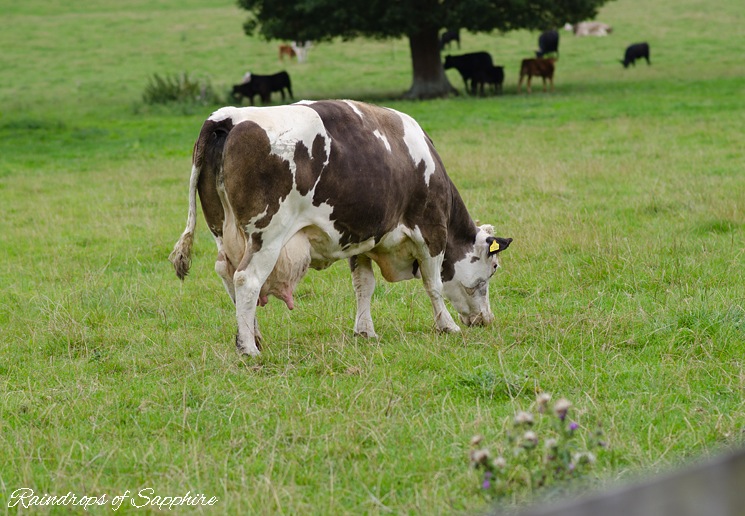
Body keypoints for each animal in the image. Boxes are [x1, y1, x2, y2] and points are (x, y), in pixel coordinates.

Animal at [170, 101, 512, 354]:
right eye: (493, 267)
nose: (486, 319)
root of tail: (229, 117)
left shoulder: (362, 238)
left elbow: (364, 285)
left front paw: (365, 330)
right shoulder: (431, 231)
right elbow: (435, 285)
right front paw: (446, 326)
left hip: (223, 233)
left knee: (228, 275)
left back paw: (253, 337)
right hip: (267, 235)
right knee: (247, 280)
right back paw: (248, 349)